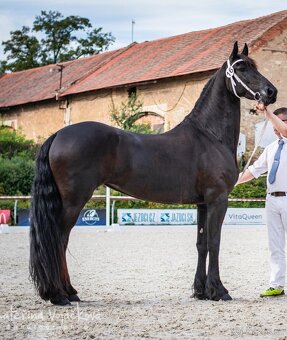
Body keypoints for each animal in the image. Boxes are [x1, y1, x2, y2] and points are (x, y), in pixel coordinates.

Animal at [29, 42, 276, 306]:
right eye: (241, 68)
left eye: (254, 66)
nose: (271, 92)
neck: (209, 136)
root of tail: (59, 134)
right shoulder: (218, 200)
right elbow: (215, 243)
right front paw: (219, 291)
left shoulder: (202, 203)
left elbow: (202, 244)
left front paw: (201, 291)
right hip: (73, 202)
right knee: (59, 240)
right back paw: (60, 294)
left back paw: (68, 292)